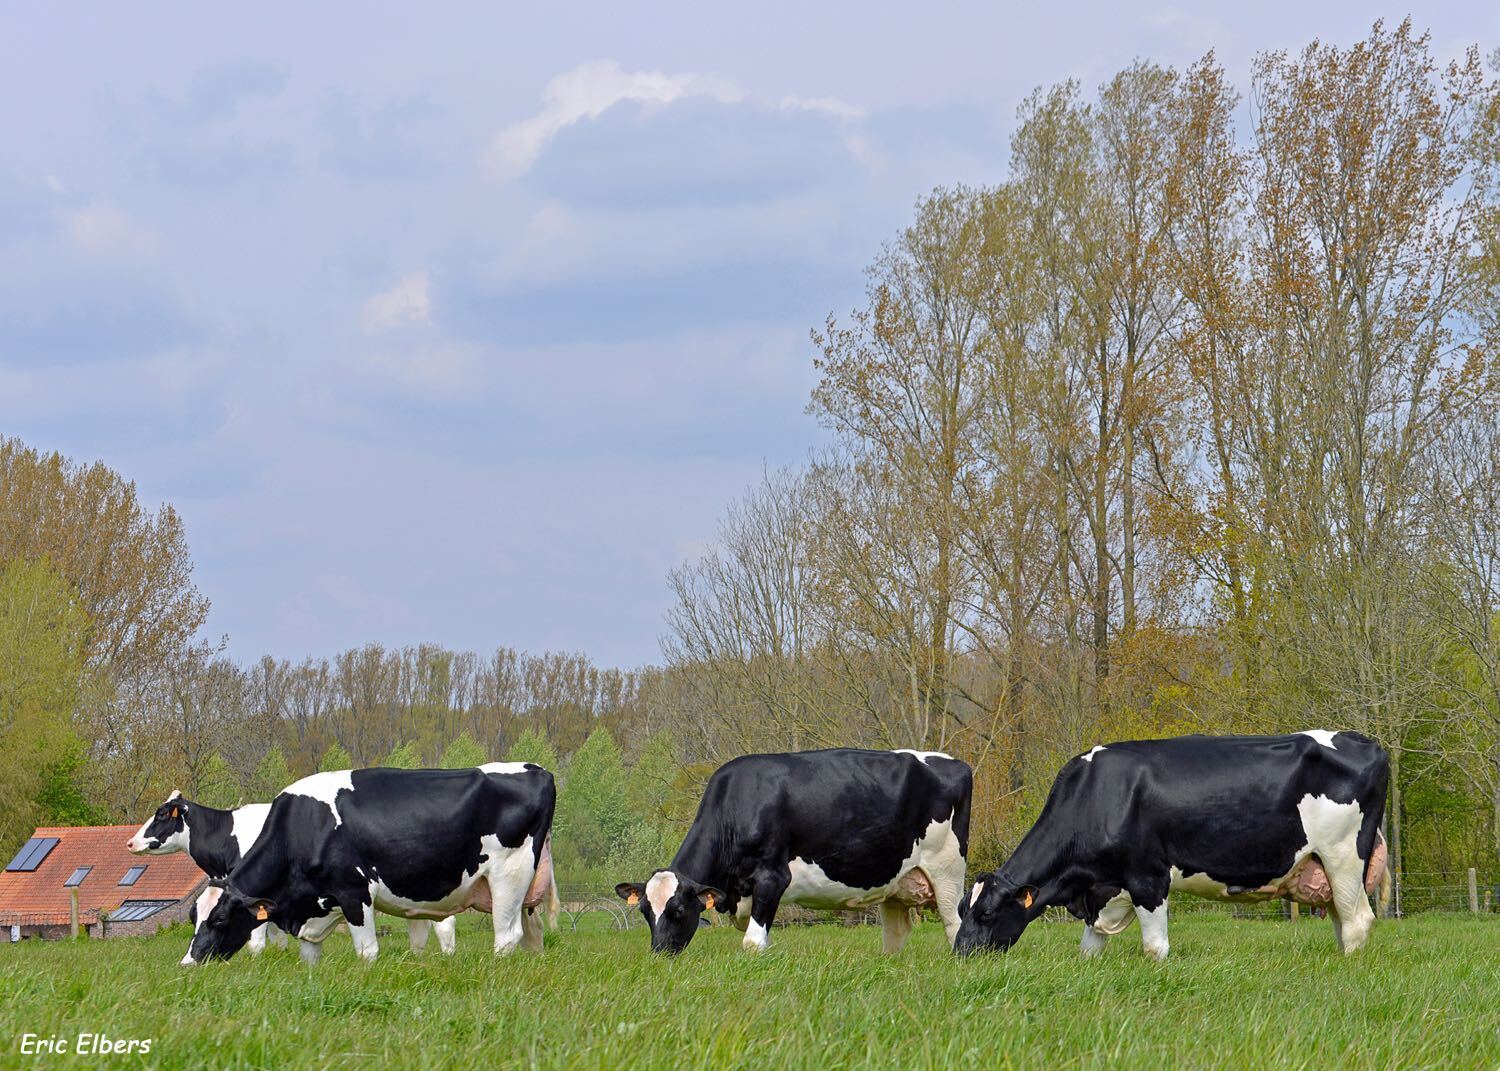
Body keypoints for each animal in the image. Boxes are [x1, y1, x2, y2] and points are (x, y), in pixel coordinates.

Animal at [187, 762, 558, 966]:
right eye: (195, 917)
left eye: (219, 920)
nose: (189, 962)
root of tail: (538, 770)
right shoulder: (314, 908)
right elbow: (309, 954)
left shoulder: (354, 892)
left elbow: (367, 951)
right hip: (526, 891)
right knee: (534, 934)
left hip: (509, 875)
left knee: (506, 936)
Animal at [612, 747, 972, 954]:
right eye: (645, 911)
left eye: (678, 911)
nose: (660, 953)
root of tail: (955, 762)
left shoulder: (772, 877)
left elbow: (752, 944)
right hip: (896, 880)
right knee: (896, 933)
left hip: (948, 871)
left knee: (954, 925)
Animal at [954, 729, 1386, 954]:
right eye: (961, 908)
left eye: (987, 914)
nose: (960, 955)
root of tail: (1363, 740)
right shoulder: (1101, 889)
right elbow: (1089, 948)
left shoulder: (1148, 878)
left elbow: (1154, 947)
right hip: (1323, 867)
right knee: (1342, 919)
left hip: (1344, 856)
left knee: (1357, 921)